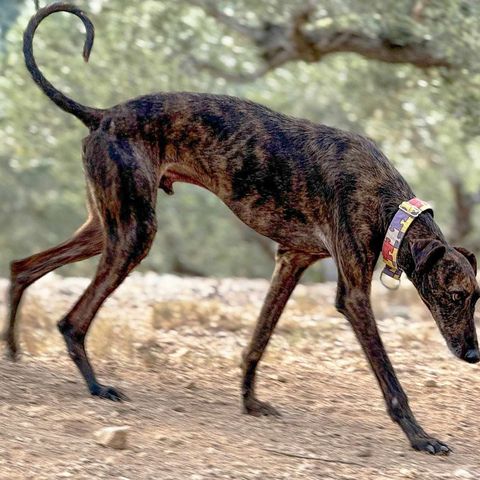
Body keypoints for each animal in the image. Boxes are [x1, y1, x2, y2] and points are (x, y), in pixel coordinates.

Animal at [4, 2, 480, 454]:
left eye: (476, 297)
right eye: (456, 295)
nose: (474, 354)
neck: (393, 211)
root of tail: (102, 115)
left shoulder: (292, 259)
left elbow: (258, 338)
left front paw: (250, 401)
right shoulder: (353, 295)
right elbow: (390, 378)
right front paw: (420, 437)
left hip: (106, 226)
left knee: (22, 266)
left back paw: (12, 347)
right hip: (134, 232)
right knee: (71, 320)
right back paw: (95, 385)